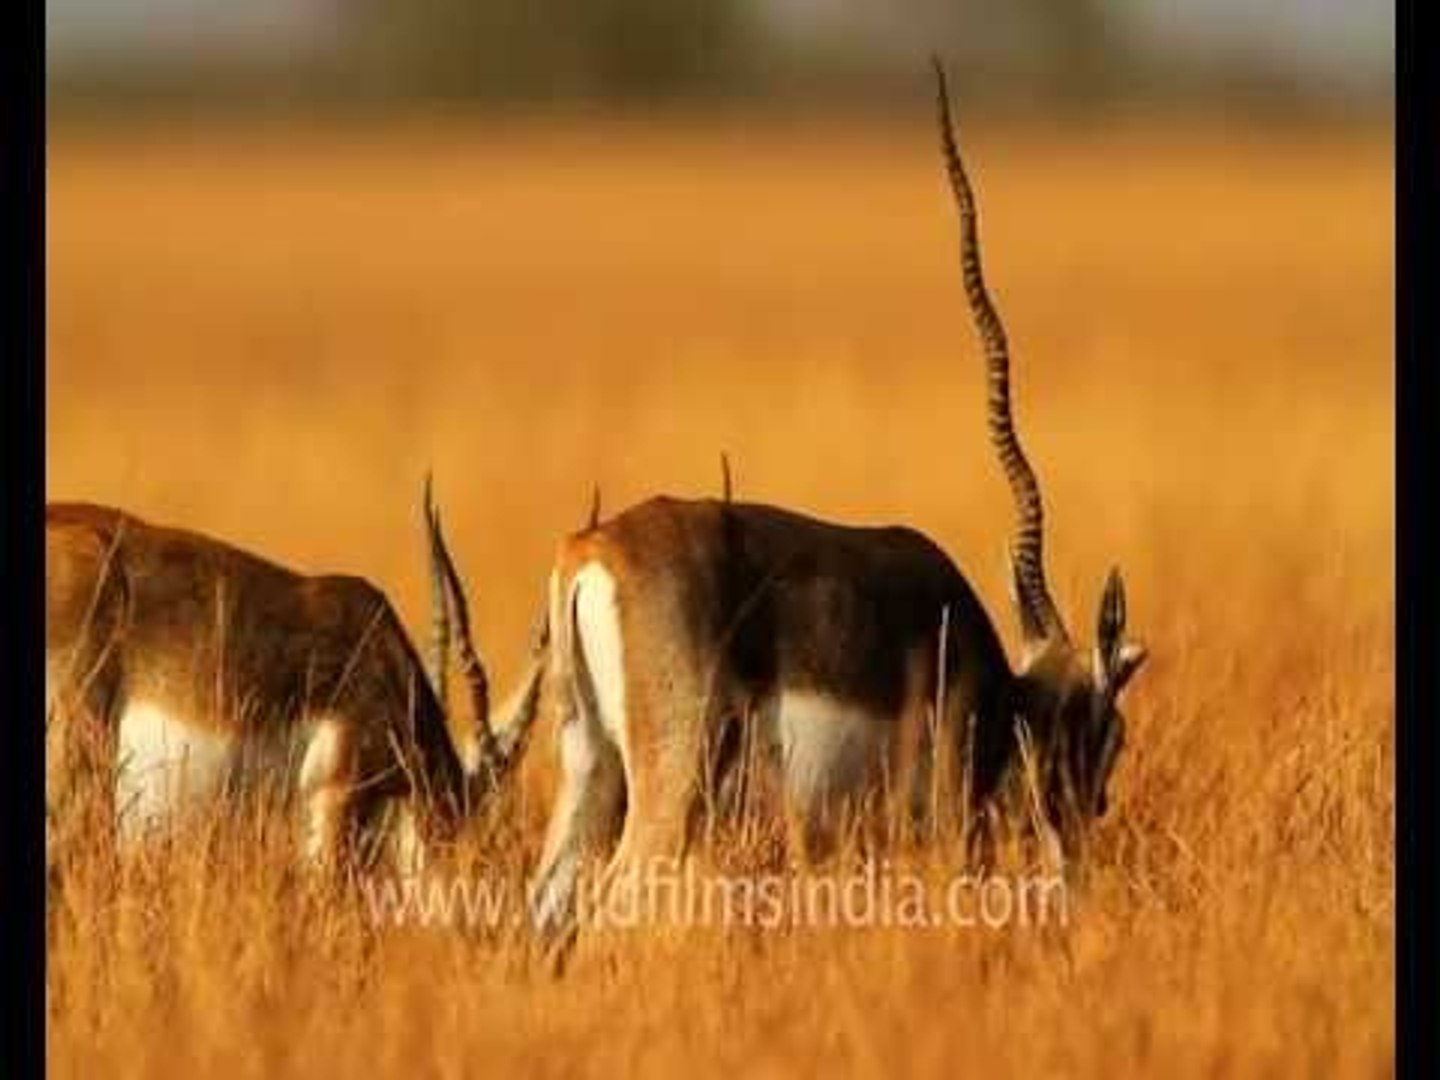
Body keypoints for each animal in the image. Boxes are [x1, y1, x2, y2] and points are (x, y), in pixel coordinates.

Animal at [529, 63, 1146, 938]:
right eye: (1113, 729)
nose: (1090, 817)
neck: (992, 685)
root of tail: (593, 551)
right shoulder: (945, 823)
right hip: (669, 786)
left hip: (591, 766)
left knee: (545, 904)